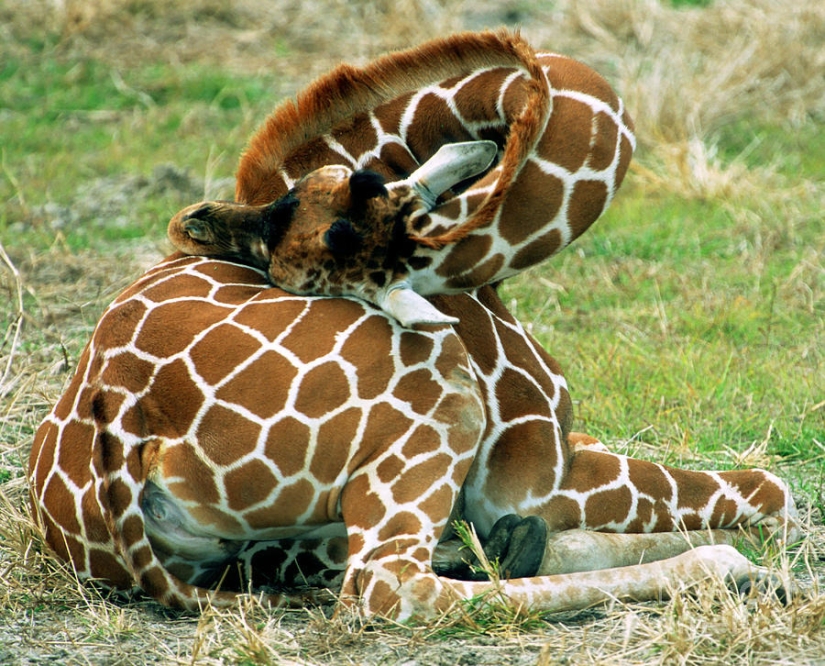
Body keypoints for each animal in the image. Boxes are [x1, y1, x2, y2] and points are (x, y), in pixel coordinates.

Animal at [28, 31, 799, 621]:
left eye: (300, 203)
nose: (197, 221)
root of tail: (119, 431)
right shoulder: (532, 474)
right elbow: (773, 489)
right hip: (438, 404)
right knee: (389, 587)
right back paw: (728, 568)